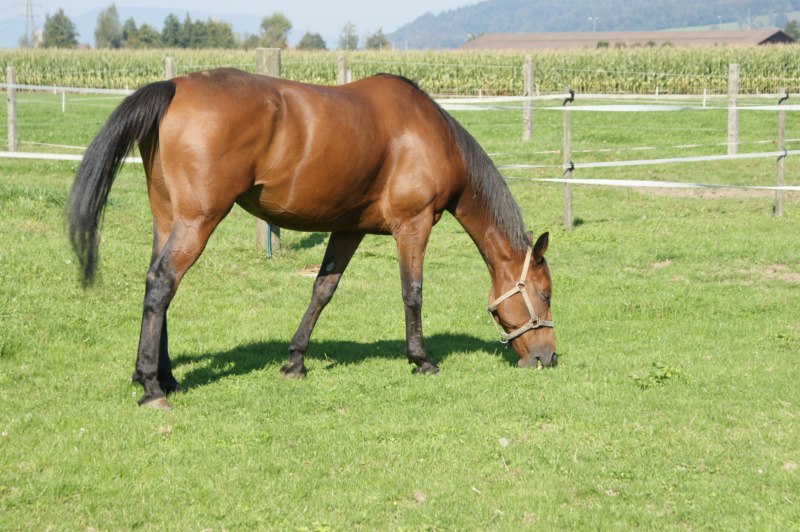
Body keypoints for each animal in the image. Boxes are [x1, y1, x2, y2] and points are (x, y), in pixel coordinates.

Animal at [67, 68, 556, 410]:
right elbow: (412, 293)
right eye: (546, 294)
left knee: (157, 285)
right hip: (197, 220)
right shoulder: (412, 225)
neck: (429, 134)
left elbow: (322, 290)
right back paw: (152, 386)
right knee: (162, 282)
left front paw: (294, 362)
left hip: (168, 218)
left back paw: (163, 376)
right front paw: (421, 360)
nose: (547, 359)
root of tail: (173, 85)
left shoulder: (349, 229)